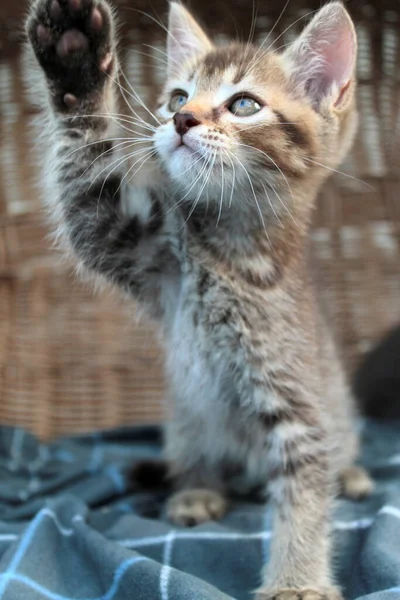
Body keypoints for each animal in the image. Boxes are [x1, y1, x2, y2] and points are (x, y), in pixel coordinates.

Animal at [26, 0, 374, 596]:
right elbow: (86, 187)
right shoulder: (139, 251)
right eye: (177, 97)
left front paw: (297, 579)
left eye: (244, 104)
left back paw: (349, 472)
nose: (181, 120)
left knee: (338, 447)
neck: (229, 255)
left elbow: (305, 492)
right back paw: (196, 489)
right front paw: (73, 59)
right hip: (185, 417)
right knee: (196, 457)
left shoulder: (296, 400)